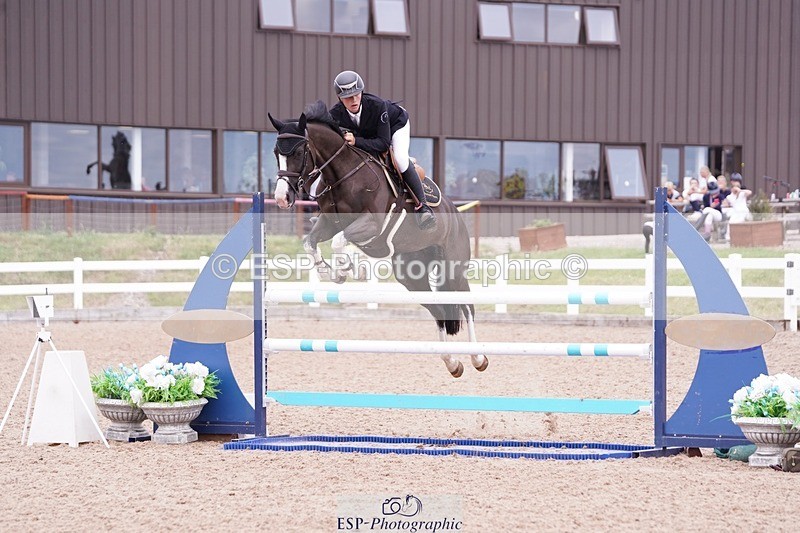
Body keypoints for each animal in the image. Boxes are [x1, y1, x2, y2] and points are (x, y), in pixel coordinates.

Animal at [268, 101, 487, 378]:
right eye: (276, 152)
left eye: (298, 152)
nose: (282, 198)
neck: (342, 173)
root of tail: (455, 214)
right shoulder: (328, 222)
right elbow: (311, 242)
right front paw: (333, 272)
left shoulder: (372, 223)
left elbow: (340, 242)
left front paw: (349, 270)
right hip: (411, 275)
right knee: (438, 309)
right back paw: (452, 363)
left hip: (453, 268)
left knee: (466, 306)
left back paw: (478, 358)